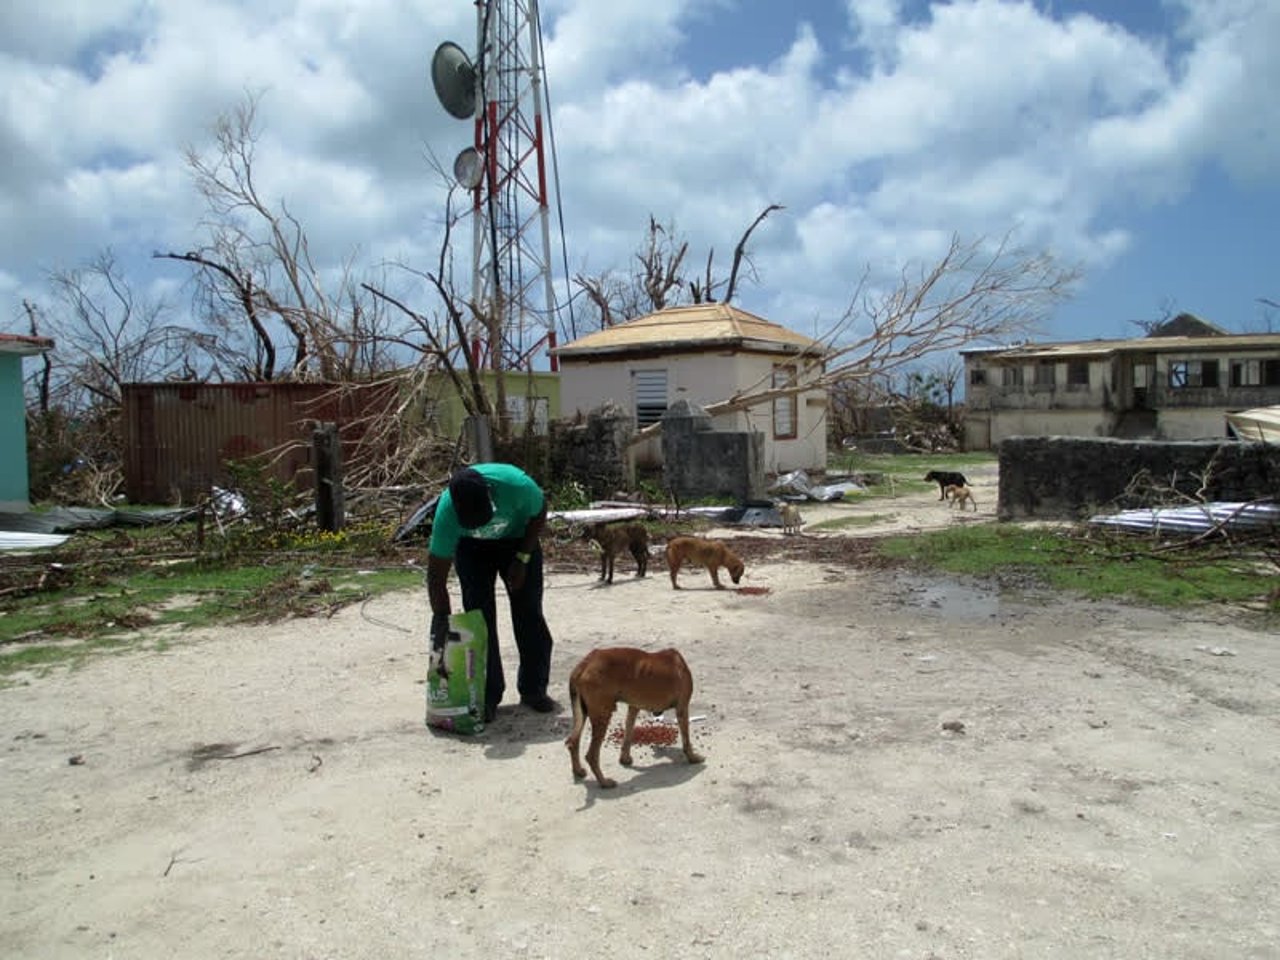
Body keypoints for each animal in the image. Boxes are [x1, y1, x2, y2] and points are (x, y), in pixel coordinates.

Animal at [565, 647, 706, 788]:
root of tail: (585, 663)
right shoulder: (682, 708)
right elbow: (686, 740)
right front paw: (693, 758)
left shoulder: (633, 708)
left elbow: (628, 733)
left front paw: (625, 759)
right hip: (603, 715)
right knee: (591, 755)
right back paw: (604, 782)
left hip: (583, 713)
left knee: (572, 742)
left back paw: (578, 771)